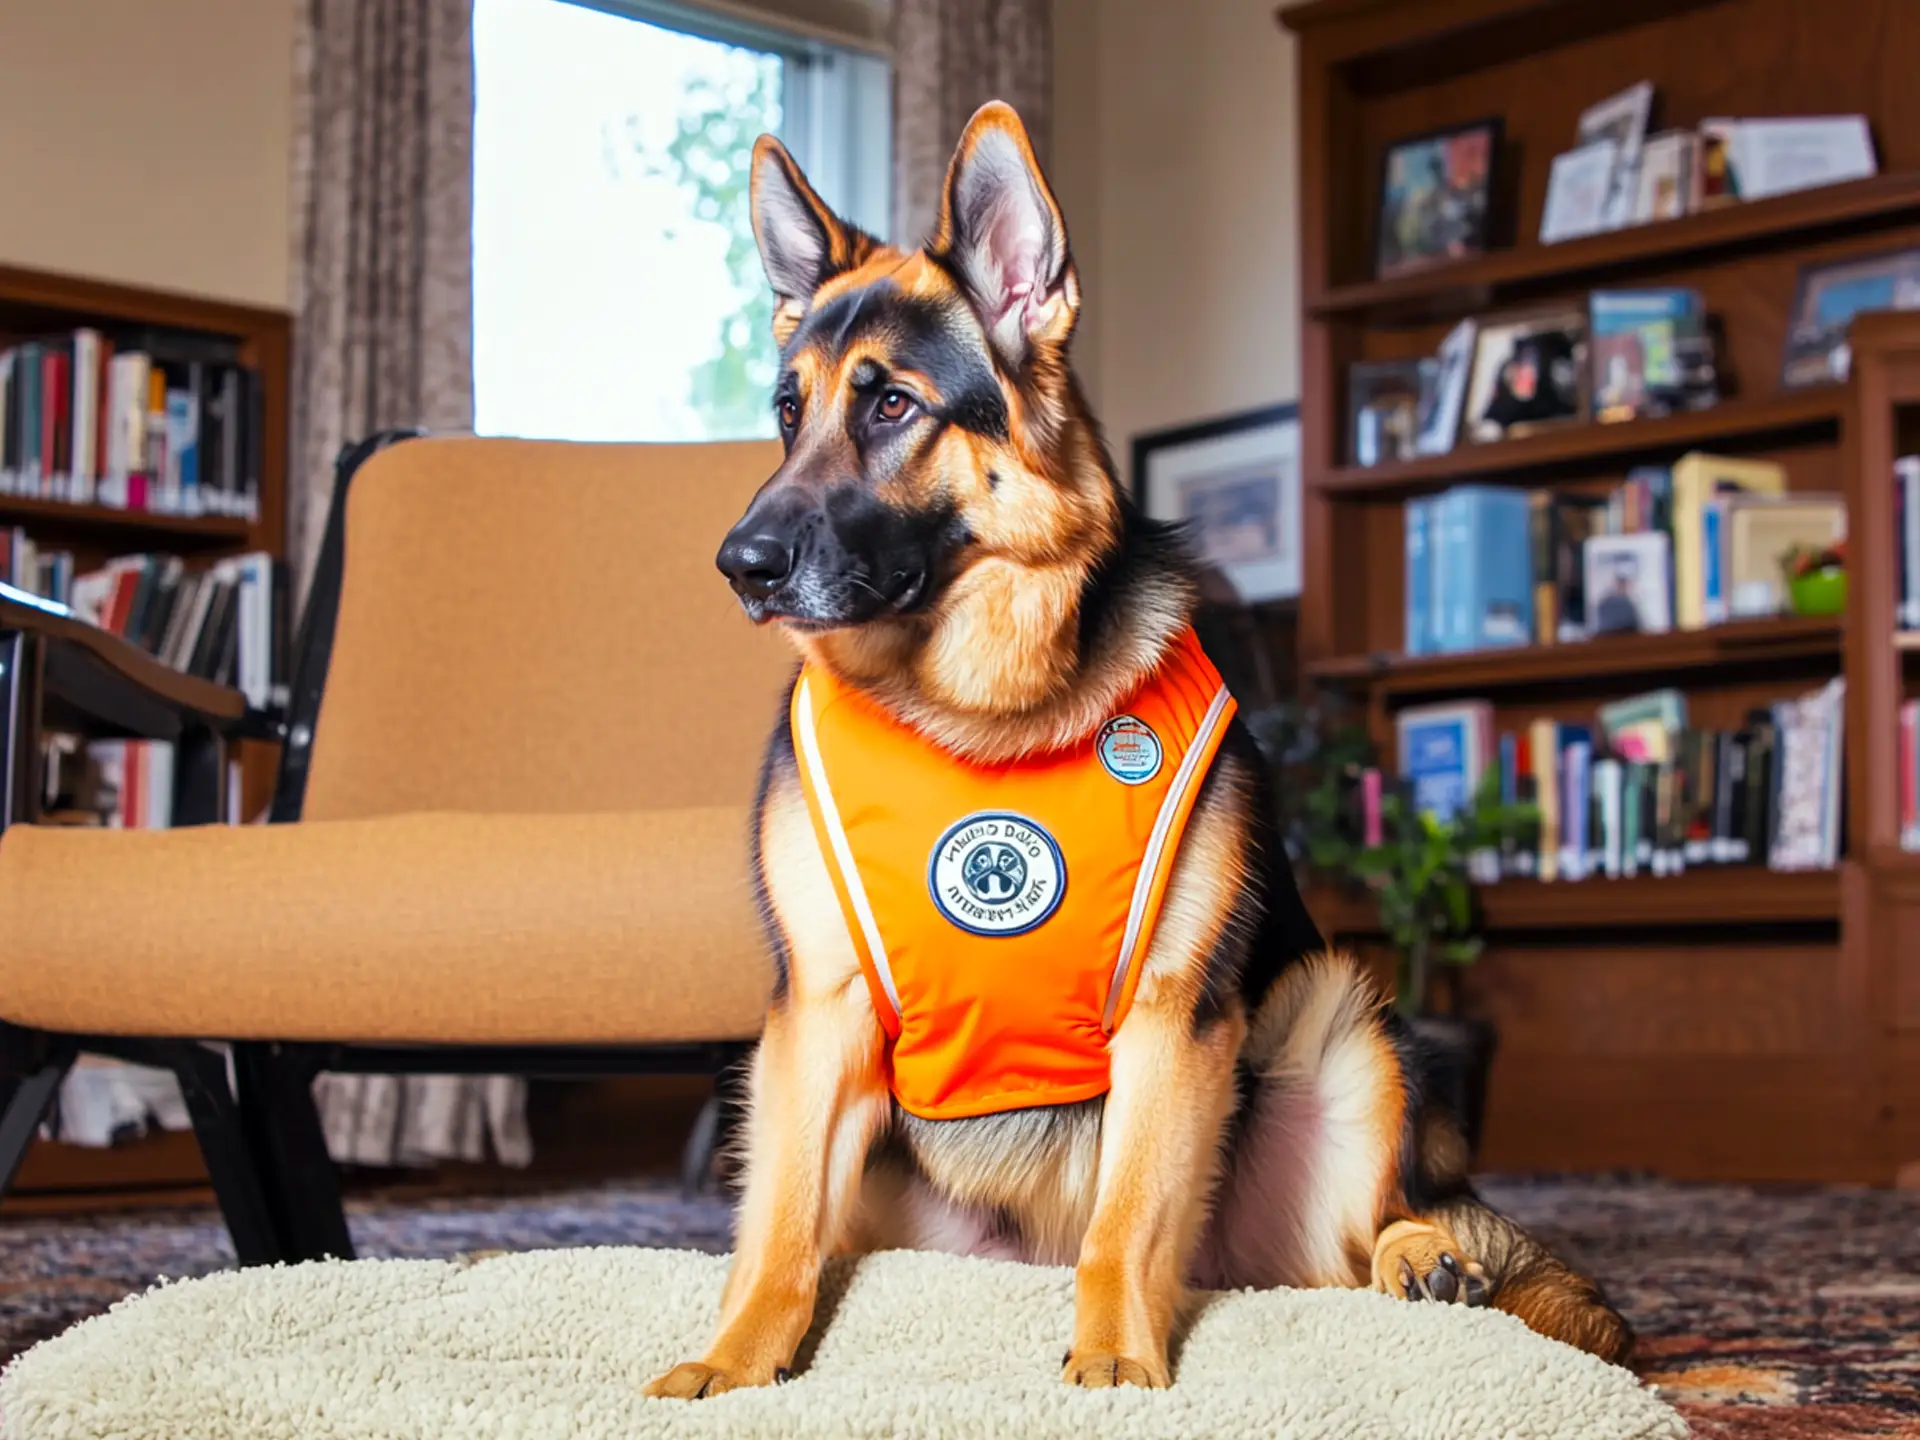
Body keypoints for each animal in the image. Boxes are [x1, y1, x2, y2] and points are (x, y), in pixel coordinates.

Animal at [648, 107, 1635, 1405]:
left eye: (893, 407)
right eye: (784, 412)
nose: (739, 564)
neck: (982, 710)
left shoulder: (1172, 1014)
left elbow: (1123, 1225)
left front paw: (1116, 1359)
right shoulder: (819, 1014)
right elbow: (777, 1233)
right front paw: (735, 1358)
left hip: (1338, 1019)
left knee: (1349, 1241)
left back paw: (1420, 1254)